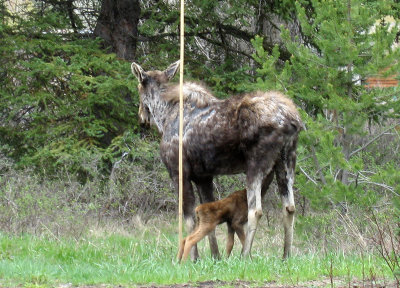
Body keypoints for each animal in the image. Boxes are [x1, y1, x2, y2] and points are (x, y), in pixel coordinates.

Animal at [131, 59, 304, 260]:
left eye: (138, 87)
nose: (141, 117)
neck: (165, 116)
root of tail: (294, 120)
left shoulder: (178, 172)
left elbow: (190, 220)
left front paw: (192, 258)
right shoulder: (203, 176)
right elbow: (208, 220)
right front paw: (215, 256)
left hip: (256, 163)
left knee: (255, 210)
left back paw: (245, 255)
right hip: (286, 160)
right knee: (289, 207)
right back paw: (286, 256)